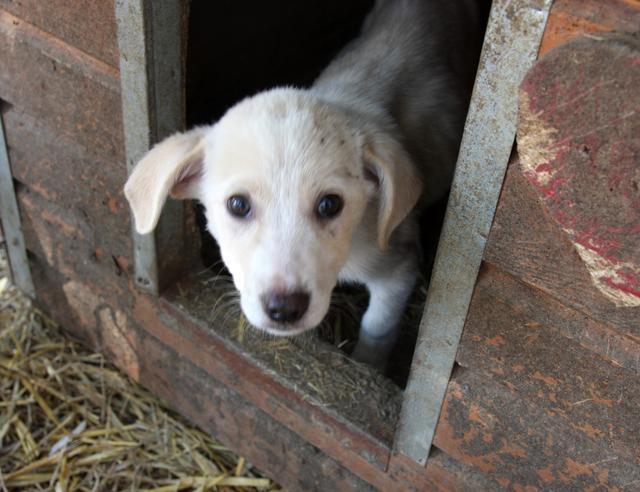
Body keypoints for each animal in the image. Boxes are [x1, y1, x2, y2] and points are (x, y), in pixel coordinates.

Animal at [124, 0, 480, 368]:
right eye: (238, 204)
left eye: (330, 204)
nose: (284, 309)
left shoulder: (398, 266)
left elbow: (377, 327)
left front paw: (367, 363)